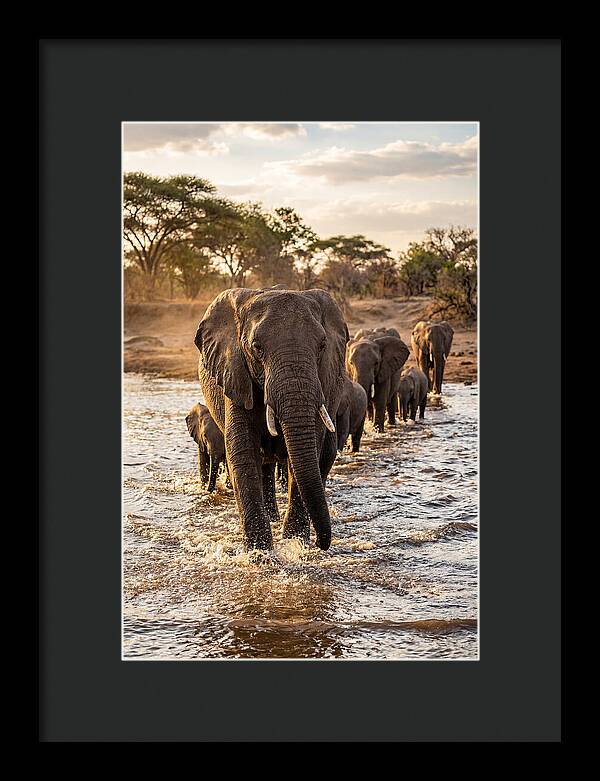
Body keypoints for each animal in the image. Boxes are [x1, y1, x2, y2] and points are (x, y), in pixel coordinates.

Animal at [194, 287, 348, 551]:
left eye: (322, 345)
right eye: (257, 347)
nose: (322, 543)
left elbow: (308, 451)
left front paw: (296, 545)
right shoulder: (235, 374)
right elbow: (243, 452)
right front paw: (260, 554)